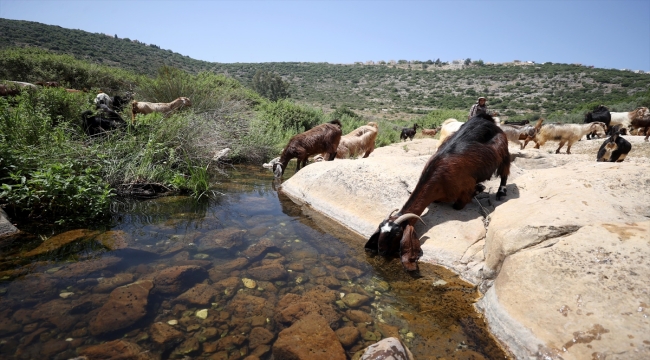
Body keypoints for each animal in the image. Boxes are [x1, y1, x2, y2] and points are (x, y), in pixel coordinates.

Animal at [364, 114, 506, 272]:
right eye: (381, 230)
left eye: (397, 233)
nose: (381, 251)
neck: (439, 177)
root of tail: (486, 118)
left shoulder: (464, 188)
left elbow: (460, 203)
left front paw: (478, 190)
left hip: (503, 150)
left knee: (505, 170)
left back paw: (501, 192)